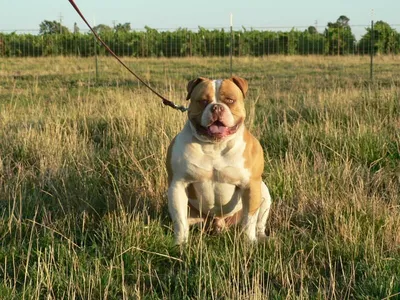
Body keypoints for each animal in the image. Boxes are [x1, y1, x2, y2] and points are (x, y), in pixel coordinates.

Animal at [166, 76, 272, 245]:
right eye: (203, 101)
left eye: (230, 100)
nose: (216, 108)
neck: (215, 146)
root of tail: (218, 223)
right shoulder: (178, 184)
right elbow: (180, 220)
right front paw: (180, 243)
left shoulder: (251, 185)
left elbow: (249, 221)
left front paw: (249, 242)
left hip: (264, 192)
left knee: (259, 222)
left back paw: (261, 237)